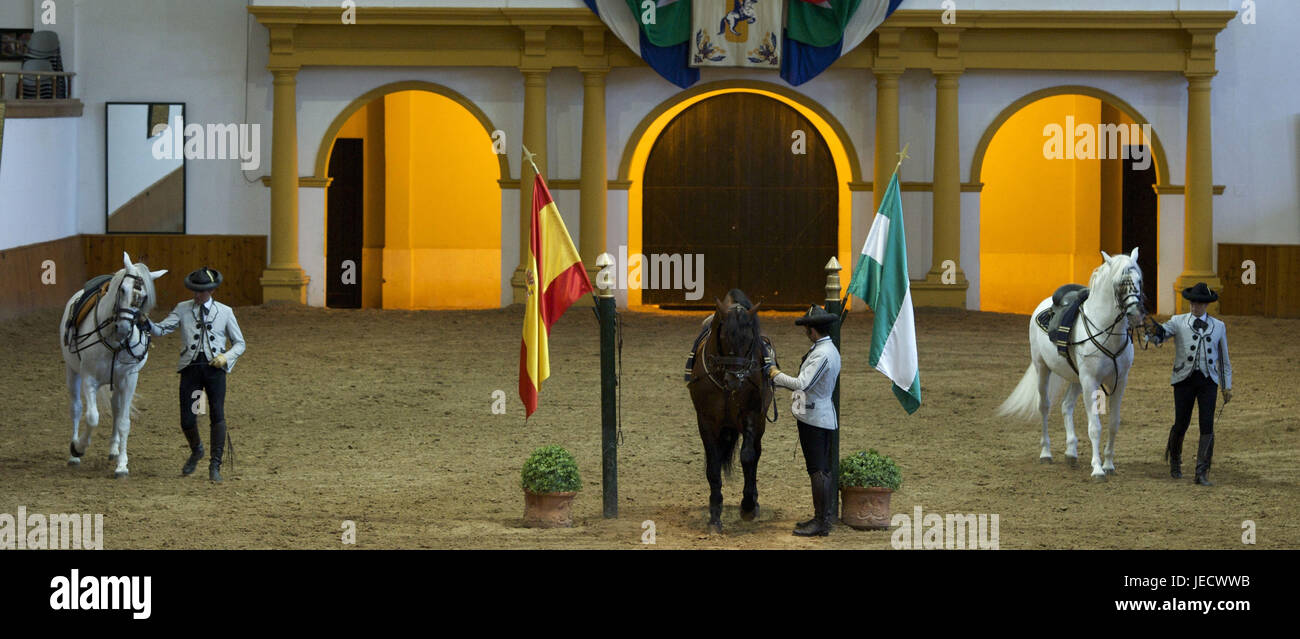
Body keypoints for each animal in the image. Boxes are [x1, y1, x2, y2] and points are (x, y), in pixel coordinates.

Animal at [60, 251, 166, 477]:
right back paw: (74, 454)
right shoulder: (88, 379)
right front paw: (79, 447)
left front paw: (122, 465)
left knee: (116, 409)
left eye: (143, 297)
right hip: (72, 372)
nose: (124, 328)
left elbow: (124, 422)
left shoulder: (128, 380)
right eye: (123, 289)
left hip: (116, 382)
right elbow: (92, 417)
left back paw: (114, 450)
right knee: (76, 408)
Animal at [691, 300, 769, 535]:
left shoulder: (751, 416)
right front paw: (715, 516)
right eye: (724, 337)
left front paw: (748, 506)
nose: (737, 379)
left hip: (760, 424)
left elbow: (748, 457)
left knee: (755, 454)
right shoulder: (706, 422)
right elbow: (713, 467)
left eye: (750, 338)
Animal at [993, 249, 1149, 477]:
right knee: (1044, 406)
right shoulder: (1090, 380)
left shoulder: (1119, 382)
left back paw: (1071, 452)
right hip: (1043, 369)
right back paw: (1046, 453)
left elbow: (1113, 424)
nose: (1137, 312)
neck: (1106, 332)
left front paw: (1109, 464)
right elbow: (1095, 427)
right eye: (1120, 283)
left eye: (1139, 280)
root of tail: (1045, 303)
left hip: (1076, 379)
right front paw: (1097, 469)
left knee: (1066, 406)